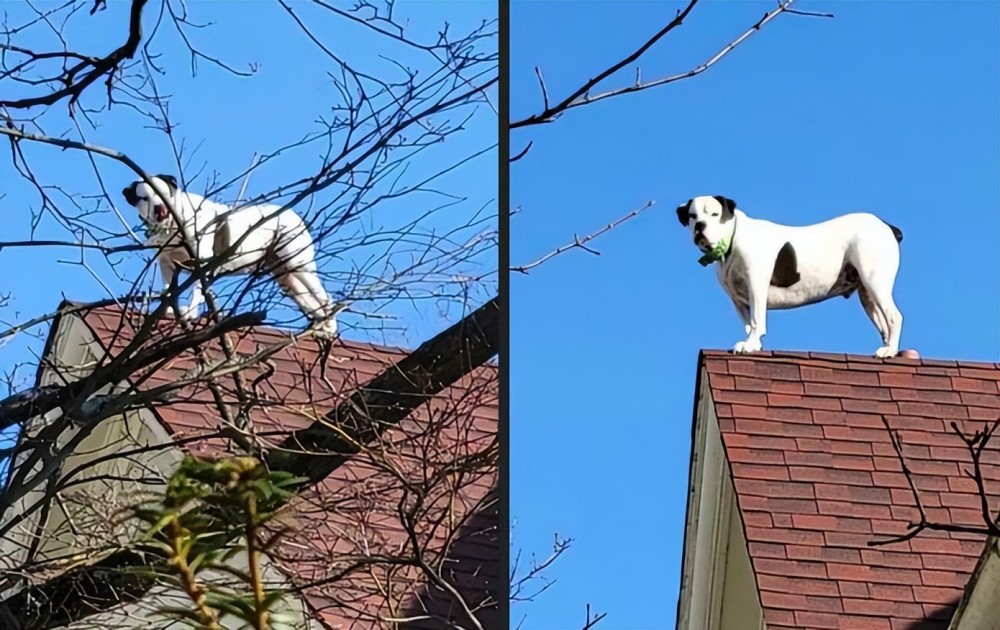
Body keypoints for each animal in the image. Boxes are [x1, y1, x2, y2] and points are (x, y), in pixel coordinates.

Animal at [122, 173, 342, 340]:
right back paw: (322, 328)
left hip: (298, 262)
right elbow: (169, 290)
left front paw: (190, 313)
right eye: (145, 198)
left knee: (324, 298)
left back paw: (330, 324)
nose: (160, 208)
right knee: (310, 302)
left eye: (164, 193)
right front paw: (169, 309)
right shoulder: (166, 264)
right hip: (286, 277)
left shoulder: (201, 263)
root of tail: (292, 214)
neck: (174, 225)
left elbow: (196, 292)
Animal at [680, 195, 908, 358]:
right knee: (884, 326)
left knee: (895, 317)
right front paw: (753, 343)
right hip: (867, 294)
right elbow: (748, 323)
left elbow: (756, 320)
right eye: (693, 216)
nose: (700, 226)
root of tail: (888, 227)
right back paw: (887, 348)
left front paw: (750, 344)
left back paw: (889, 351)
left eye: (714, 214)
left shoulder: (756, 286)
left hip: (875, 281)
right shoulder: (738, 300)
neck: (733, 239)